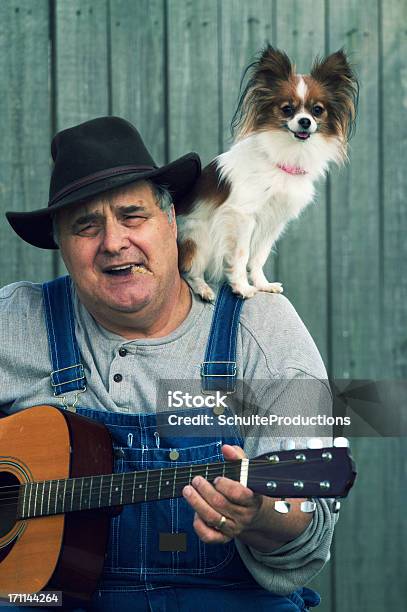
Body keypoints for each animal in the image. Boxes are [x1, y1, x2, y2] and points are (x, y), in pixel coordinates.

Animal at [177, 46, 358, 302]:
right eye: (287, 109)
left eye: (317, 110)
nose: (305, 121)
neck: (285, 157)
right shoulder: (243, 216)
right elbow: (241, 255)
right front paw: (242, 287)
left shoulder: (273, 221)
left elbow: (258, 256)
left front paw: (262, 284)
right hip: (198, 237)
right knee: (189, 271)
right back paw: (203, 288)